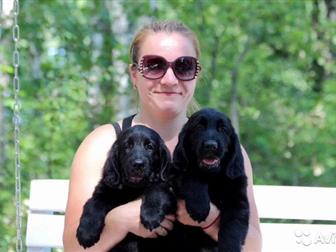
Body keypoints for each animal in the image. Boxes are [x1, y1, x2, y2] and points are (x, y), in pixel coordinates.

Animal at [173, 108, 249, 252]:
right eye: (199, 127)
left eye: (223, 129)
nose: (210, 146)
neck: (212, 176)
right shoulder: (178, 173)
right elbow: (193, 175)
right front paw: (199, 207)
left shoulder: (237, 202)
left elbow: (232, 229)